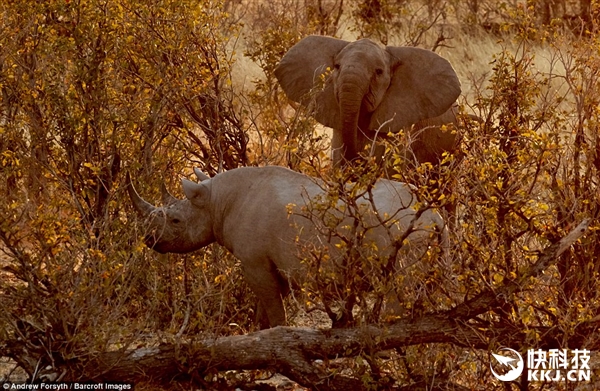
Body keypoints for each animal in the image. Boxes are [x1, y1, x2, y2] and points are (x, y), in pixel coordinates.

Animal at [127, 167, 446, 330]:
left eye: (176, 221)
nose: (149, 240)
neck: (216, 200)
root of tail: (434, 216)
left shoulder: (255, 261)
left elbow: (272, 306)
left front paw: (274, 338)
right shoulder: (264, 262)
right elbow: (263, 306)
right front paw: (255, 336)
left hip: (401, 229)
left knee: (397, 286)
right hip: (424, 233)